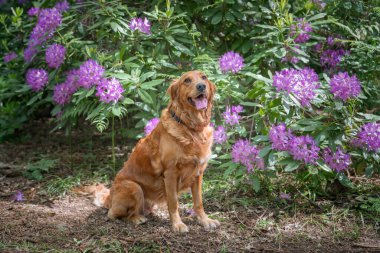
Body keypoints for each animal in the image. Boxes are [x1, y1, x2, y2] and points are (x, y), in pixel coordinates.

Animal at [93, 70, 220, 232]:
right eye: (187, 80)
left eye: (204, 77)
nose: (201, 86)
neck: (191, 128)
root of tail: (109, 198)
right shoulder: (170, 173)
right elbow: (173, 202)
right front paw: (177, 224)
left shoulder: (198, 173)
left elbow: (199, 202)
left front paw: (205, 220)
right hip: (134, 187)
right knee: (115, 214)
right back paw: (137, 219)